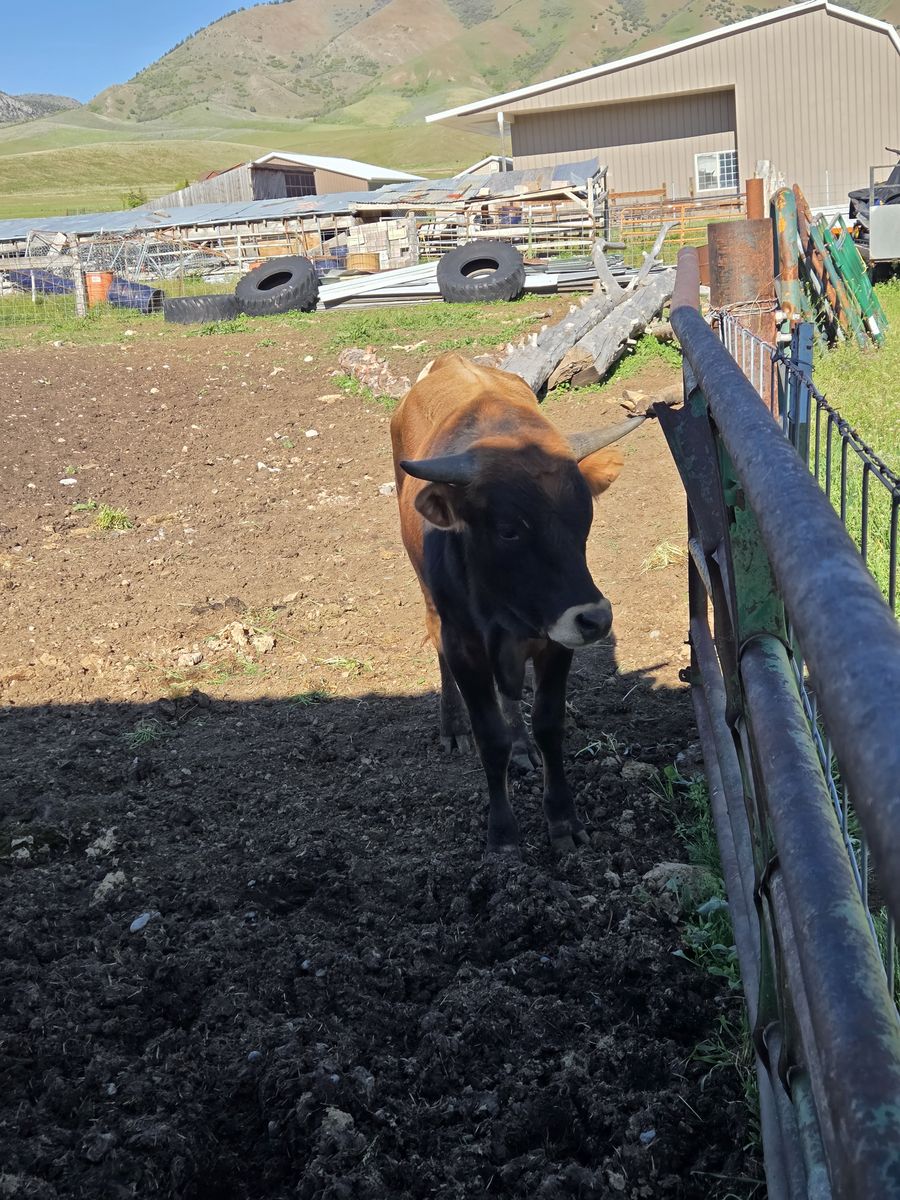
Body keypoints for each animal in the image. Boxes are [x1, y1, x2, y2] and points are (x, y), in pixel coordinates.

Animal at [390, 351, 649, 857]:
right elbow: (489, 737)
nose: (596, 619)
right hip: (431, 601)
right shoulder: (465, 646)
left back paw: (522, 744)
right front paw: (503, 833)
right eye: (509, 530)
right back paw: (452, 727)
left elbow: (549, 724)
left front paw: (562, 819)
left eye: (584, 518)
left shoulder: (555, 641)